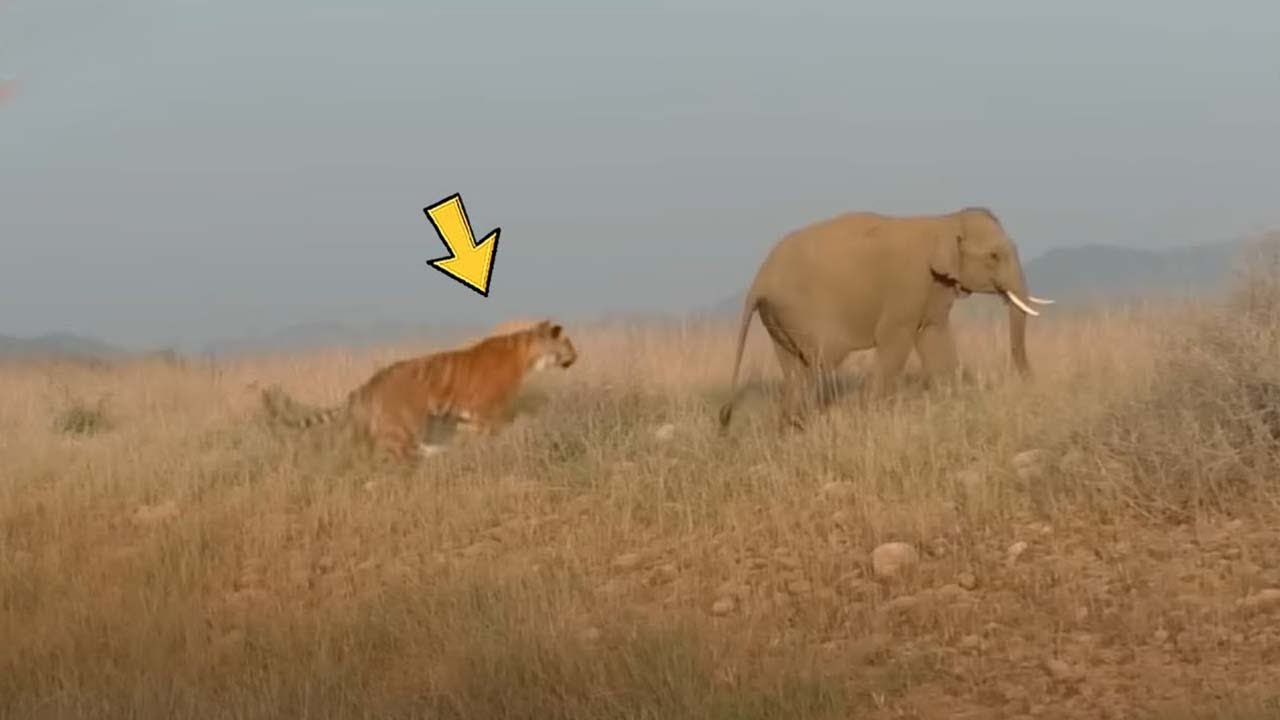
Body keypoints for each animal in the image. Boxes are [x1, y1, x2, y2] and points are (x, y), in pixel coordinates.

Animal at [259, 319, 578, 461]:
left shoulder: (466, 416)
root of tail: (371, 382)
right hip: (399, 431)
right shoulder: (489, 413)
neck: (529, 354)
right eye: (567, 343)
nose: (576, 355)